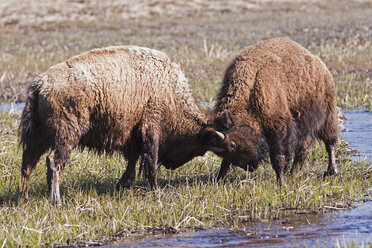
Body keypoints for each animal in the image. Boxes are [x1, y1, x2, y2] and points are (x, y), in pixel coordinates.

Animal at [19, 45, 224, 204]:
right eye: (199, 148)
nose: (170, 165)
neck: (170, 89)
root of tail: (39, 85)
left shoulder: (134, 137)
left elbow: (133, 164)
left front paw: (121, 185)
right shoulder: (151, 129)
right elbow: (150, 162)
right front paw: (155, 190)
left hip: (40, 137)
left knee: (28, 163)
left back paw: (24, 198)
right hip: (66, 135)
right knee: (53, 162)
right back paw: (56, 200)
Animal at [212, 37, 338, 183]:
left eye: (233, 144)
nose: (251, 167)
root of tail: (322, 68)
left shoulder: (278, 127)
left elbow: (279, 156)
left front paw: (281, 181)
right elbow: (225, 163)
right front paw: (219, 178)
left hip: (327, 115)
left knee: (330, 142)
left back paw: (331, 171)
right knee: (304, 147)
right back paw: (293, 173)